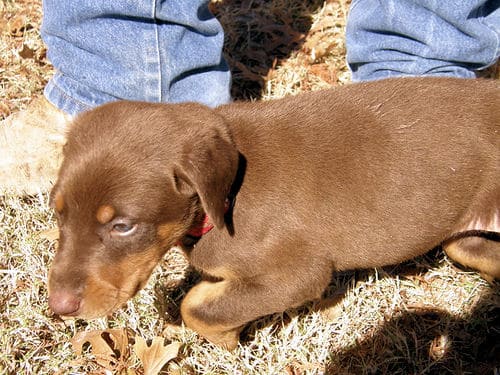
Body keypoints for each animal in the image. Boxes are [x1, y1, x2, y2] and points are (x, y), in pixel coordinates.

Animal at [47, 78, 500, 352]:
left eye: (123, 226)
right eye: (59, 213)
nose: (59, 307)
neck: (224, 198)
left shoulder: (298, 274)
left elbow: (198, 307)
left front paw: (226, 340)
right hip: (463, 233)